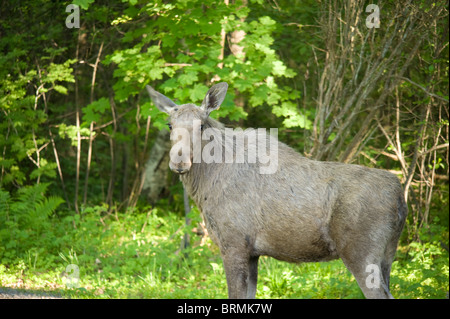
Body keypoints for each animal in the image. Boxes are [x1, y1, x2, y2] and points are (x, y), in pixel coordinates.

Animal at [148, 82, 408, 300]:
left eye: (201, 125)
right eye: (170, 125)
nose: (179, 162)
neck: (204, 184)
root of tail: (400, 197)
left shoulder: (233, 244)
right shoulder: (252, 253)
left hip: (361, 255)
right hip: (387, 256)